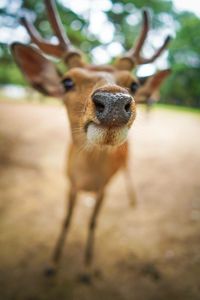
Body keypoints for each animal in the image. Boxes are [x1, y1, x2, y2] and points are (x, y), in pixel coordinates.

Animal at [10, 0, 170, 282]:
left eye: (135, 84)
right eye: (67, 81)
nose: (114, 101)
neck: (87, 178)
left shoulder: (104, 188)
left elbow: (93, 222)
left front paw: (86, 269)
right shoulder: (70, 183)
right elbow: (65, 219)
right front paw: (51, 264)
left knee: (128, 173)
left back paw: (133, 200)